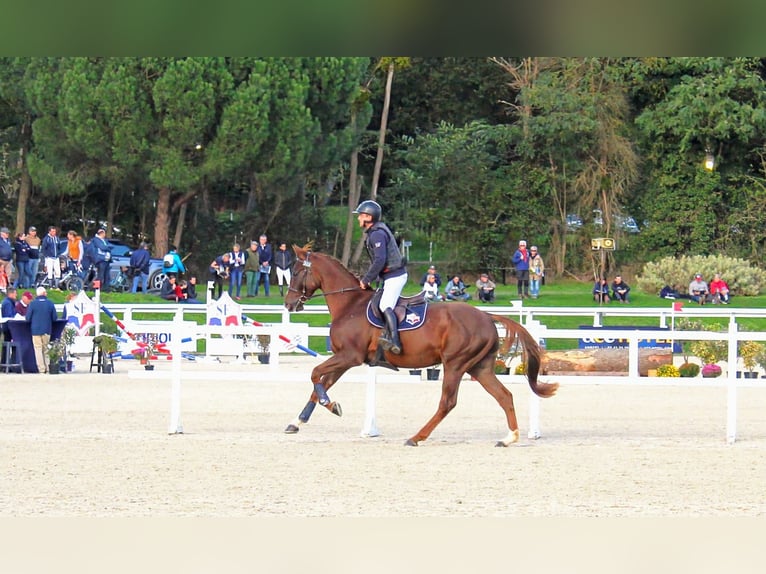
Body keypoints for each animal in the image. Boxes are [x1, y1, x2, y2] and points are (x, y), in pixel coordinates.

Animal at [282, 245, 560, 448]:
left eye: (295, 273)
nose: (288, 304)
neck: (350, 304)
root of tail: (486, 316)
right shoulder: (343, 358)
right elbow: (321, 384)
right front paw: (298, 421)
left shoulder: (349, 356)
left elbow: (315, 374)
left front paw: (330, 406)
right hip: (479, 368)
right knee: (504, 396)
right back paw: (509, 437)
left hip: (455, 364)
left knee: (448, 402)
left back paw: (416, 437)